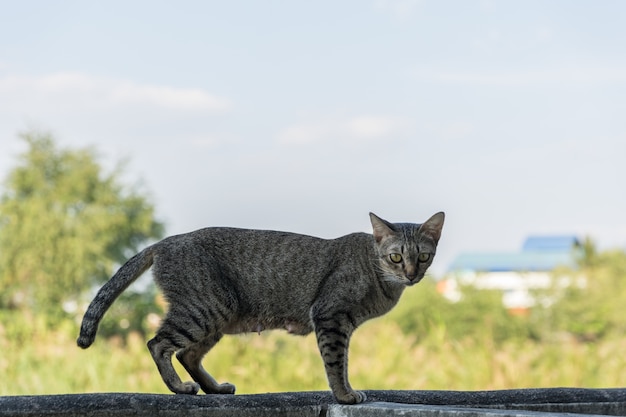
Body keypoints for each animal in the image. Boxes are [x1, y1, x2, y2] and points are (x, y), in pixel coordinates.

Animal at [75, 211, 442, 404]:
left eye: (423, 256)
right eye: (396, 257)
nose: (412, 274)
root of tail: (164, 242)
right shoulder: (331, 317)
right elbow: (336, 364)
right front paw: (345, 395)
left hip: (217, 316)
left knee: (187, 354)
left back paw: (215, 388)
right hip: (206, 308)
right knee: (159, 344)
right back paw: (180, 388)